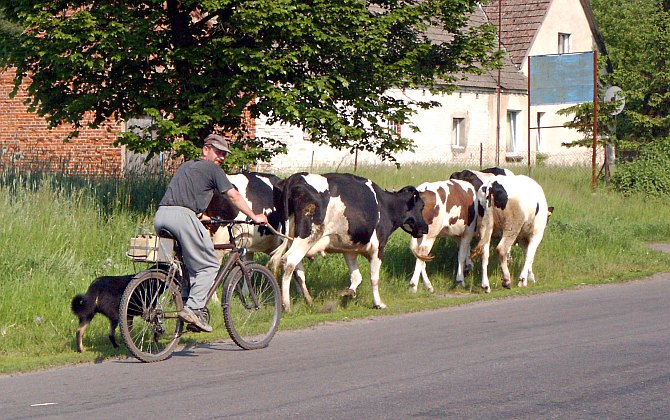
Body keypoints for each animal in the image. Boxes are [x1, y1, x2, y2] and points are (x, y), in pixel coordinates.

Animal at [270, 171, 430, 312]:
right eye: (422, 206)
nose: (426, 228)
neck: (385, 205)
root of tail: (294, 178)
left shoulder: (349, 250)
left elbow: (356, 277)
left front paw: (348, 293)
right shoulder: (379, 247)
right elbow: (374, 277)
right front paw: (378, 303)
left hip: (291, 240)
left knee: (297, 270)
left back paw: (309, 301)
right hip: (307, 237)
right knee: (289, 262)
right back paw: (286, 305)